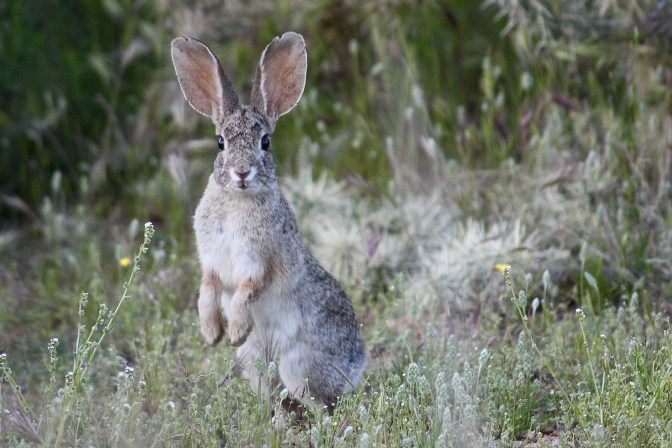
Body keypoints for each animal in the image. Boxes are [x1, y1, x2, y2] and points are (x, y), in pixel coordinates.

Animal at [171, 32, 365, 410]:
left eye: (265, 141)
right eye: (220, 143)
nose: (241, 172)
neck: (237, 200)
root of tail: (356, 367)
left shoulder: (263, 261)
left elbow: (248, 290)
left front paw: (234, 330)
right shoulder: (211, 261)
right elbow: (207, 289)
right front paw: (212, 333)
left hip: (299, 367)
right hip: (255, 364)